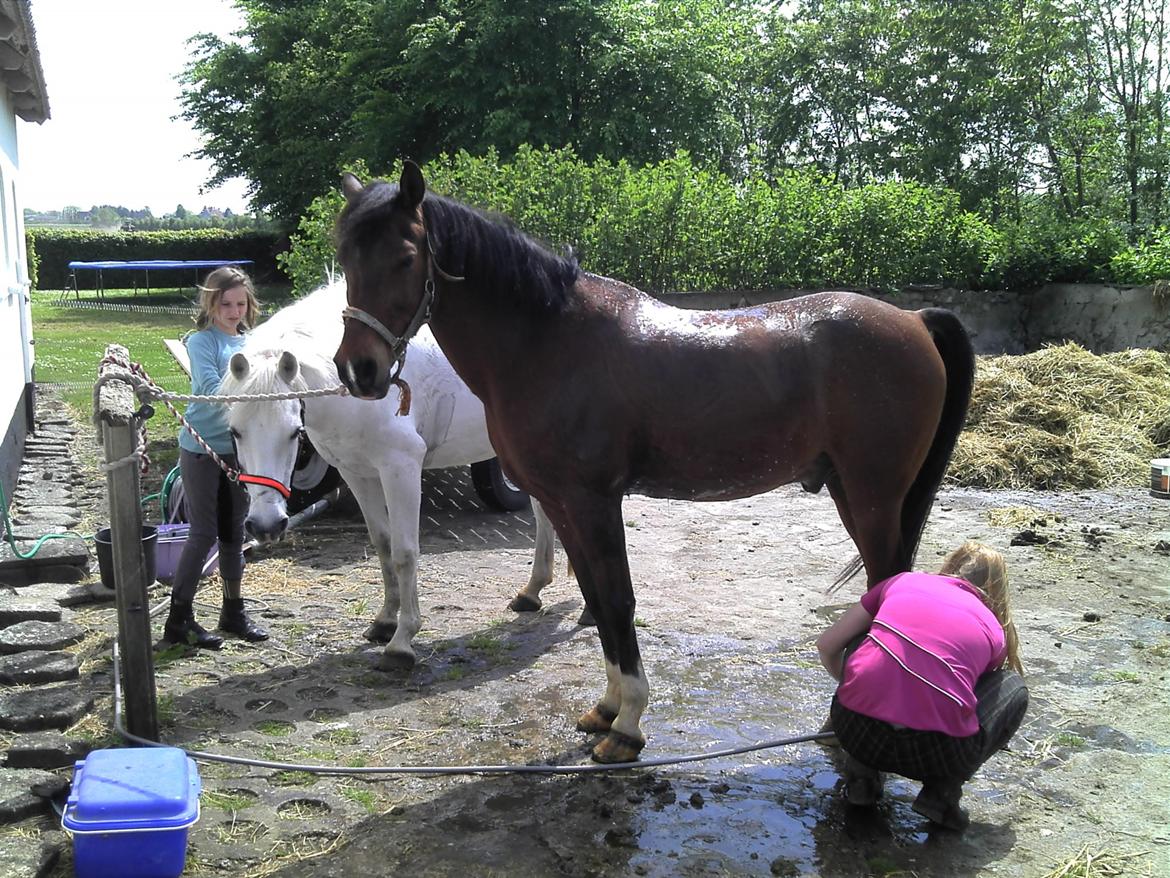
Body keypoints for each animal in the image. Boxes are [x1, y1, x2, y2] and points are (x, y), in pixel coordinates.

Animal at [224, 282, 566, 664]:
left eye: (294, 432)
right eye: (235, 432)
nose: (265, 526)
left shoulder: (400, 469)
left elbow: (405, 552)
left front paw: (403, 639)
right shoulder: (358, 474)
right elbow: (384, 545)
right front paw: (384, 622)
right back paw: (531, 592)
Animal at [334, 163, 973, 763]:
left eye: (405, 257)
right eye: (345, 259)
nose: (357, 370)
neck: (548, 341)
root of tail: (914, 320)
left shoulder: (593, 500)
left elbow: (618, 600)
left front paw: (629, 725)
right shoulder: (562, 504)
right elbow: (596, 599)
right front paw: (606, 709)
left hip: (872, 494)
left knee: (887, 587)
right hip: (851, 489)